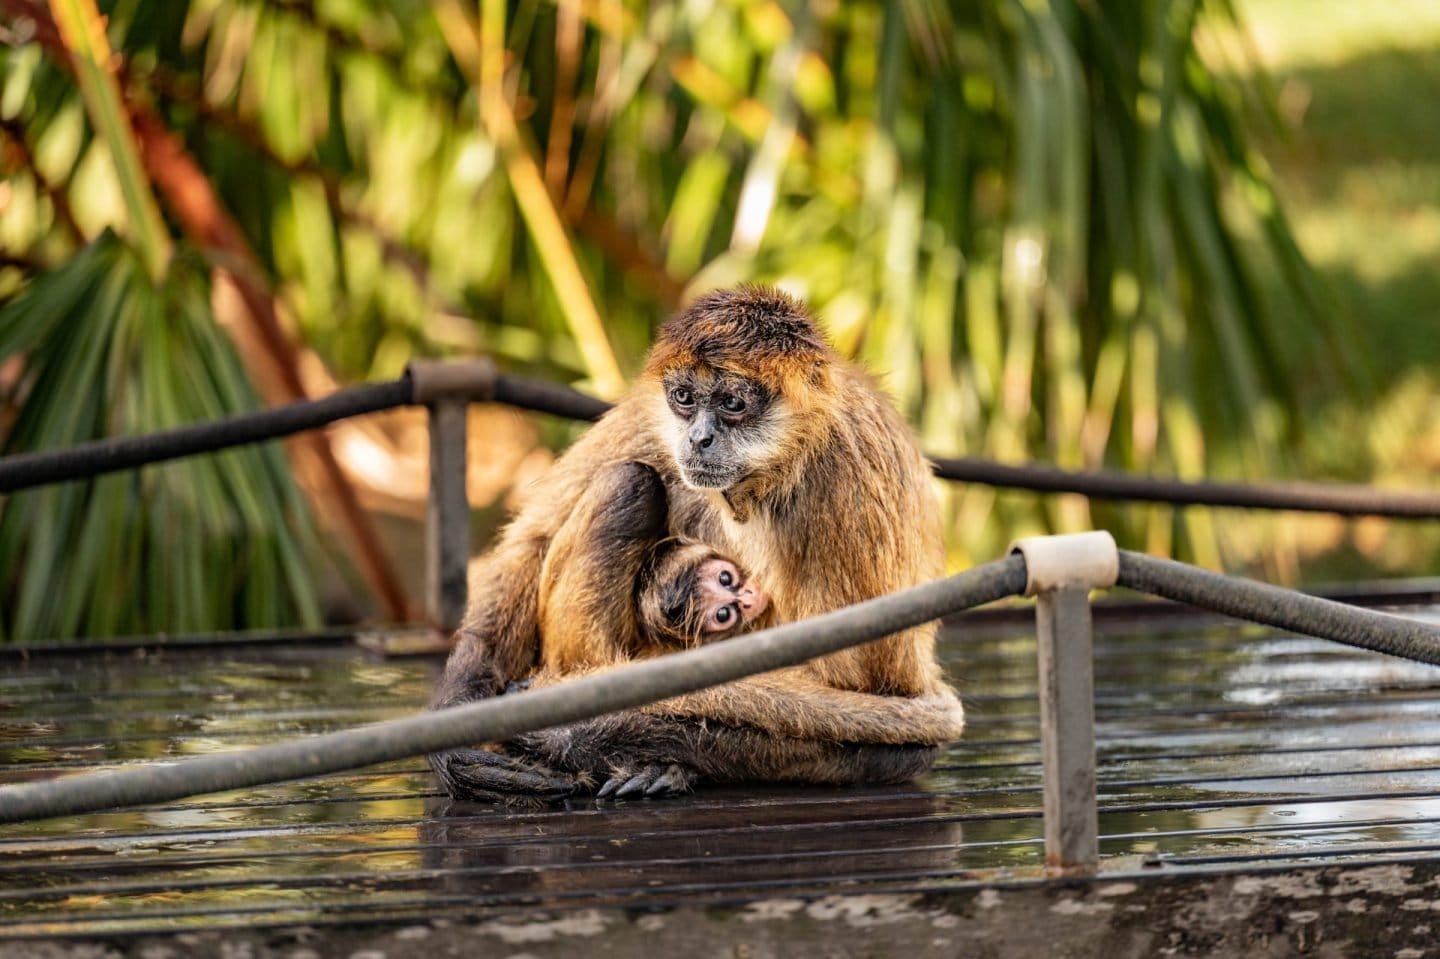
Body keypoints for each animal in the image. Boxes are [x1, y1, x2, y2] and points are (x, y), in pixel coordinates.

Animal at [428, 286, 964, 802]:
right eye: (685, 397)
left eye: (732, 404)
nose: (699, 437)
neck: (771, 473)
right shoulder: (652, 412)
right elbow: (532, 540)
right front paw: (458, 732)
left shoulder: (851, 466)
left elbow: (858, 699)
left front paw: (577, 735)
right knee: (631, 480)